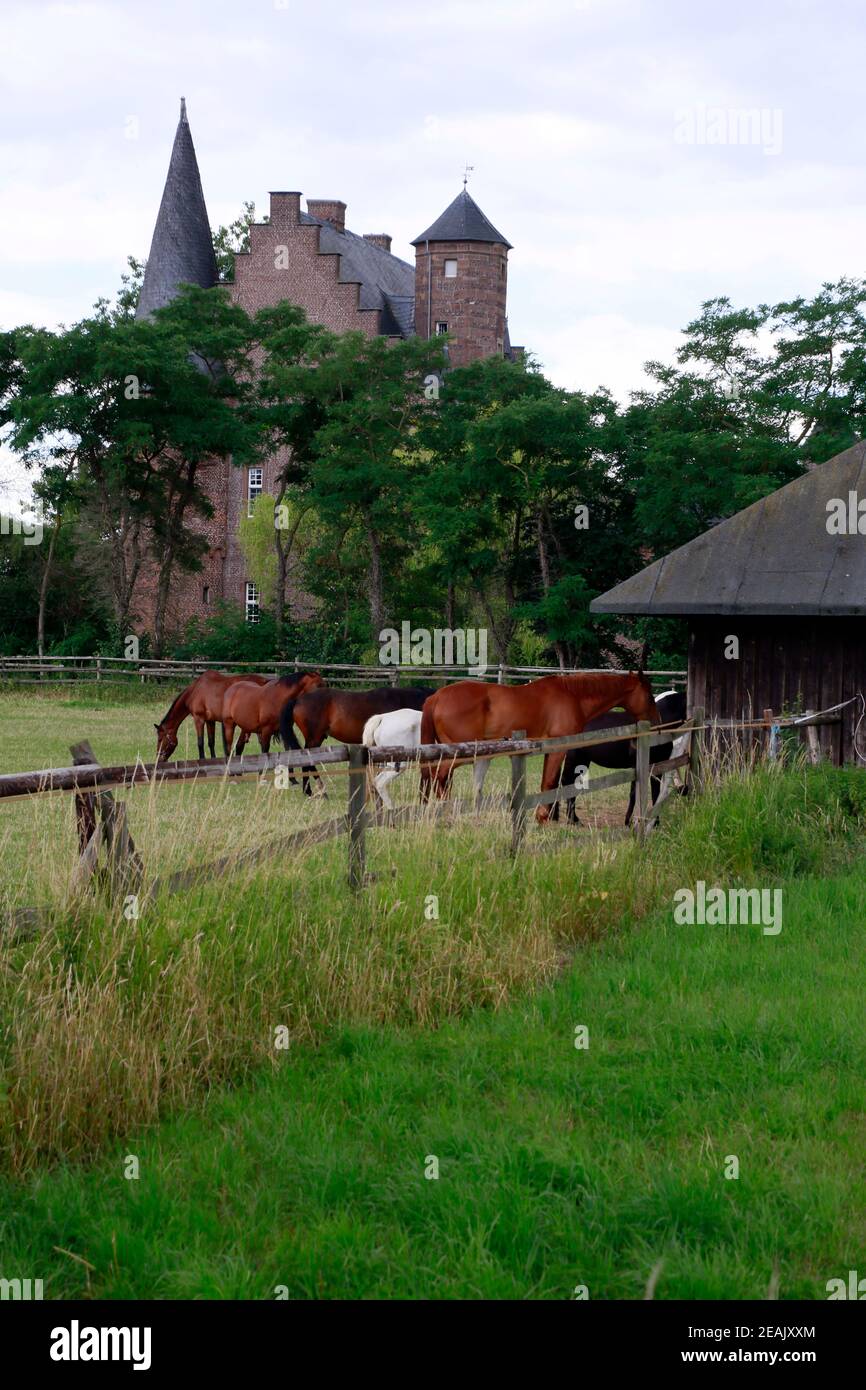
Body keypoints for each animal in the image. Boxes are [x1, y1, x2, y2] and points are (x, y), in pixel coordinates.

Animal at [419, 667, 656, 817]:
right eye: (649, 696)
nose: (656, 721)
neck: (573, 696)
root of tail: (436, 697)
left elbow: (547, 782)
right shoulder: (558, 749)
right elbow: (550, 782)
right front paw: (543, 817)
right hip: (460, 753)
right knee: (439, 776)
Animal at [556, 686, 692, 822]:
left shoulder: (657, 766)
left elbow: (655, 793)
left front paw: (655, 822)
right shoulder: (637, 766)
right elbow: (634, 793)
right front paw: (628, 821)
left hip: (583, 760)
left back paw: (573, 818)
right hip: (574, 758)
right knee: (566, 782)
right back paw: (569, 818)